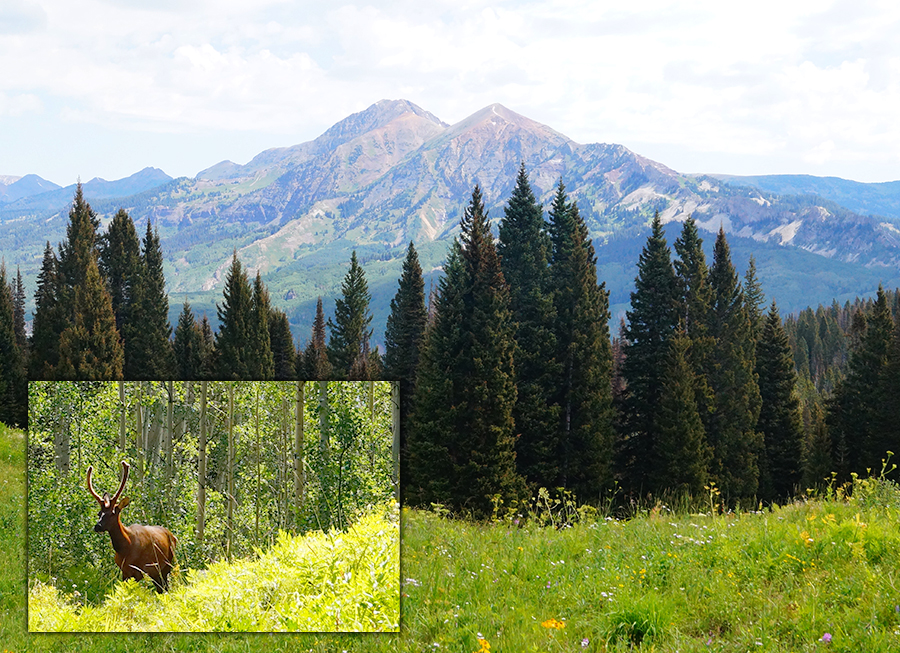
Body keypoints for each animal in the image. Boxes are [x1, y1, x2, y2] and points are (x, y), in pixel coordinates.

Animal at [88, 458, 178, 592]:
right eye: (99, 513)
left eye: (113, 513)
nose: (97, 526)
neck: (125, 547)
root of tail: (173, 536)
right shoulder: (124, 571)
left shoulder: (139, 570)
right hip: (156, 572)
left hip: (167, 565)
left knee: (165, 588)